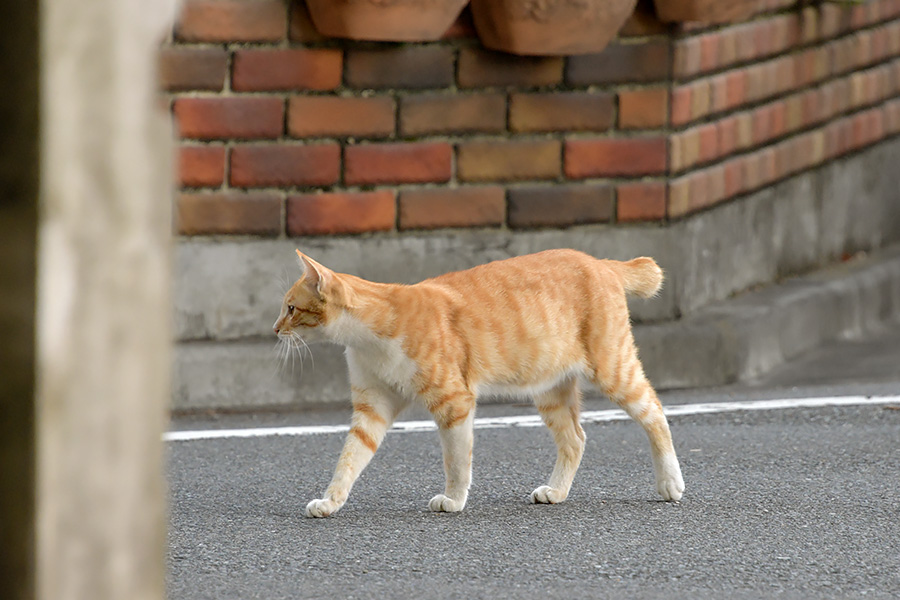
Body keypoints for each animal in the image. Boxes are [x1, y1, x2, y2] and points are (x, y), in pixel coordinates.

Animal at [274, 248, 684, 516]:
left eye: (291, 308)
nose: (275, 329)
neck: (368, 338)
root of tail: (602, 262)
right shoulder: (371, 407)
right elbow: (349, 458)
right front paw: (331, 501)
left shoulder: (454, 402)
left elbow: (456, 460)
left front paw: (453, 500)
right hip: (549, 387)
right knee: (575, 439)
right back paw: (556, 491)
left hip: (612, 367)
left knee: (655, 411)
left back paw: (670, 483)